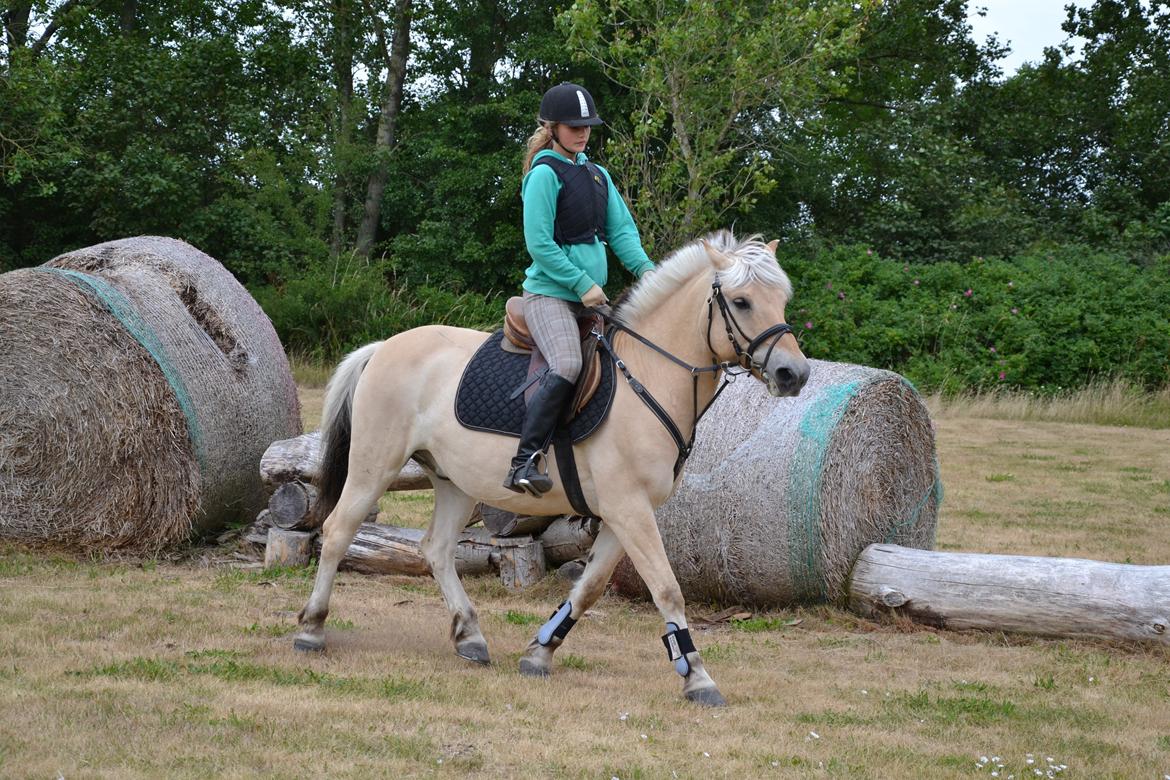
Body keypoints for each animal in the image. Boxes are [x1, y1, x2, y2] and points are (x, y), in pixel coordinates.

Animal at [292, 229, 809, 706]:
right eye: (741, 302)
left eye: (781, 299)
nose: (795, 374)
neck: (648, 375)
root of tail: (383, 346)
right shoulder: (629, 509)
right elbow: (667, 588)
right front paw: (697, 677)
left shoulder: (623, 515)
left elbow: (590, 587)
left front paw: (540, 653)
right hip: (375, 464)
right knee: (338, 531)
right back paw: (312, 629)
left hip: (454, 481)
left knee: (436, 549)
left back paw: (469, 636)